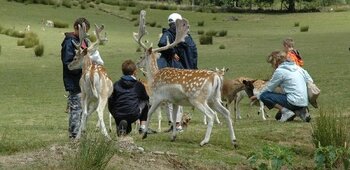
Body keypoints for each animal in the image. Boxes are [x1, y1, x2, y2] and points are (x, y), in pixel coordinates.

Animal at [134, 9, 238, 147]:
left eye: (141, 56)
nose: (136, 63)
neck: (154, 77)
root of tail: (216, 77)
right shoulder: (175, 101)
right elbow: (174, 117)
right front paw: (173, 136)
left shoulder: (158, 97)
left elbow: (150, 113)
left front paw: (144, 134)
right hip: (214, 98)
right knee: (226, 113)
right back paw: (234, 141)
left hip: (198, 99)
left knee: (211, 115)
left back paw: (204, 141)